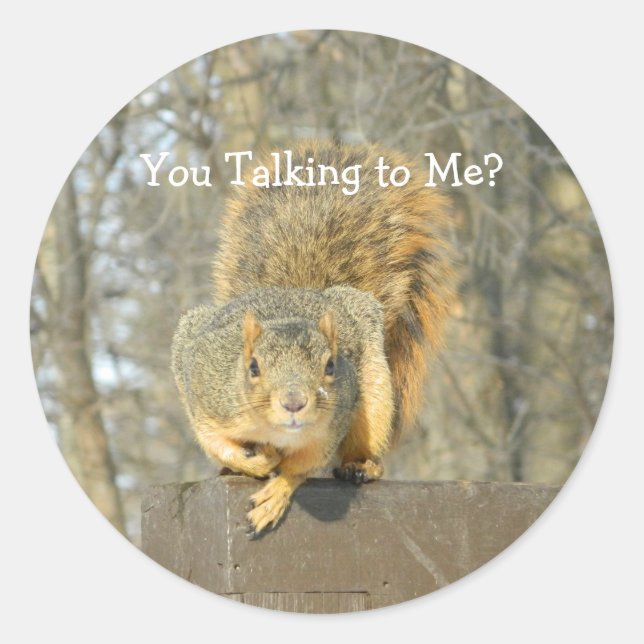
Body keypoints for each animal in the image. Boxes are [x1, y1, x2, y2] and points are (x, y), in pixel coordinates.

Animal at [172, 140, 454, 535]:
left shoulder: (331, 422)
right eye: (253, 367)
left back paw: (361, 465)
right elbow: (215, 441)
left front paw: (276, 492)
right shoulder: (205, 391)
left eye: (330, 366)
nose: (294, 403)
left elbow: (301, 466)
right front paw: (253, 462)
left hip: (375, 395)